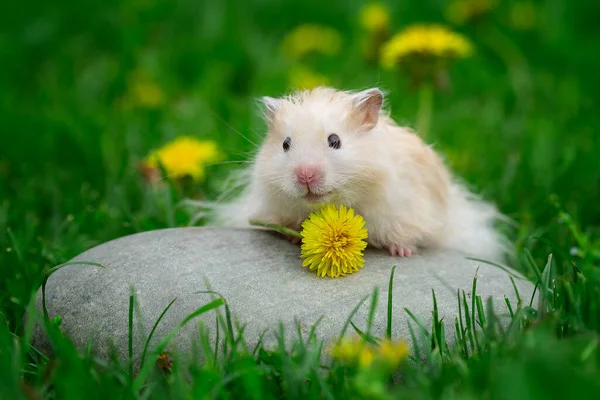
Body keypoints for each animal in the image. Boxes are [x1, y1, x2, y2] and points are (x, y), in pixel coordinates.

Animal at [197, 86, 510, 262]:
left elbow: (404, 233)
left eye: (335, 141)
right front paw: (296, 238)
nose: (305, 176)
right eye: (285, 144)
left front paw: (403, 252)